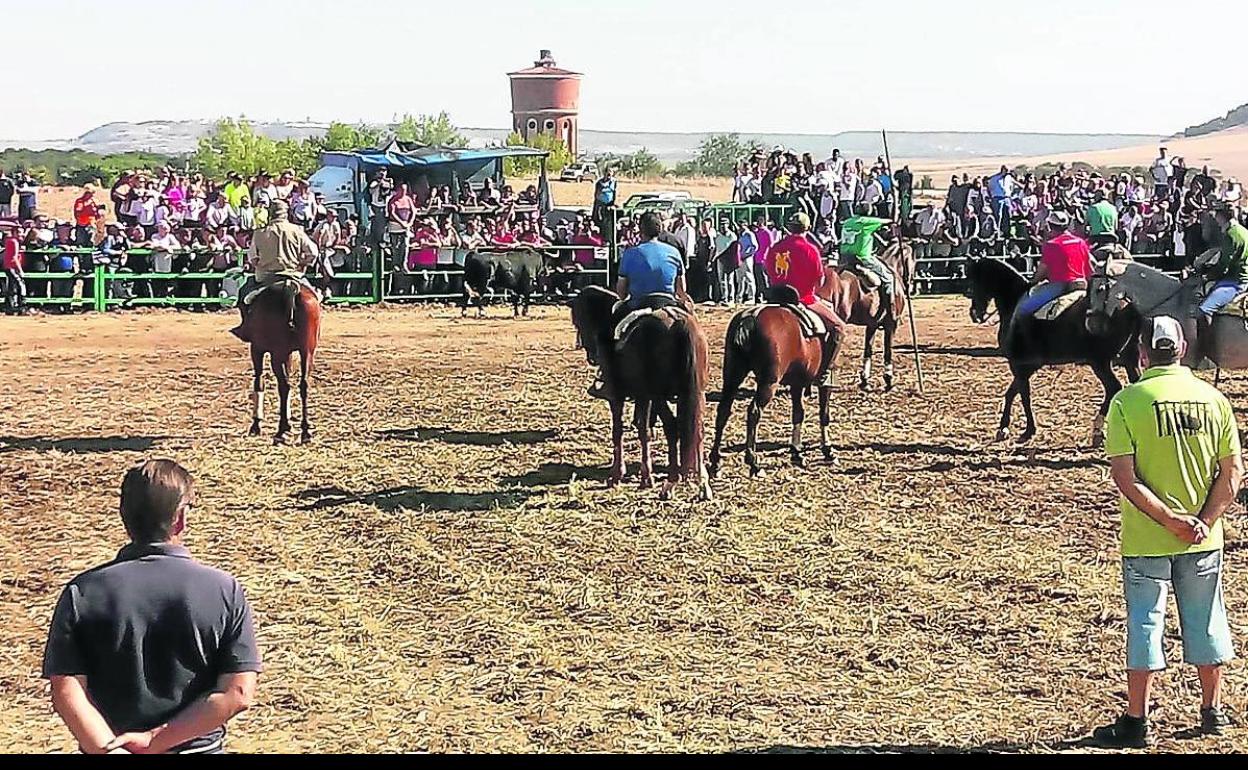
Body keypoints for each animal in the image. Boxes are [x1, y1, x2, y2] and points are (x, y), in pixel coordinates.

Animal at [235, 283, 319, 441]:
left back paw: (281, 429)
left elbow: (259, 381)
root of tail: (291, 288)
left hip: (276, 354)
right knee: (303, 385)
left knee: (283, 386)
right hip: (307, 352)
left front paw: (256, 424)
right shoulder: (288, 354)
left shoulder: (257, 349)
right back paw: (305, 431)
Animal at [569, 285, 713, 501]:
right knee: (696, 430)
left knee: (672, 427)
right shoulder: (643, 397)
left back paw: (670, 483)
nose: (591, 355)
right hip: (694, 393)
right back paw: (702, 483)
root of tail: (678, 321)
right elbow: (643, 429)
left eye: (579, 320)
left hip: (659, 395)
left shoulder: (618, 397)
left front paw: (618, 474)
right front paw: (645, 475)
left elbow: (620, 431)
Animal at [713, 290, 848, 474]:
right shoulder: (826, 383)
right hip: (769, 383)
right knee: (753, 412)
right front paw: (828, 451)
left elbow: (798, 414)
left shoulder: (797, 384)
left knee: (723, 411)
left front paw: (796, 453)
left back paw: (715, 462)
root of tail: (750, 317)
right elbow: (824, 415)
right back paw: (753, 462)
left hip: (732, 376)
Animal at [818, 239, 918, 389]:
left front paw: (864, 380)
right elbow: (888, 350)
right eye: (914, 259)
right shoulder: (891, 324)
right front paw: (888, 379)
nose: (911, 283)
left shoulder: (872, 325)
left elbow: (868, 350)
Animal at [963, 253, 1143, 444]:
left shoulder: (1019, 364)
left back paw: (1097, 430)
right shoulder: (1029, 366)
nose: (974, 313)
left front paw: (1027, 430)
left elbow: (1024, 395)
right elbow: (1012, 393)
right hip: (1128, 359)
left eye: (973, 282)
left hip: (1100, 363)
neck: (1014, 301)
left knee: (1113, 388)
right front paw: (1004, 428)